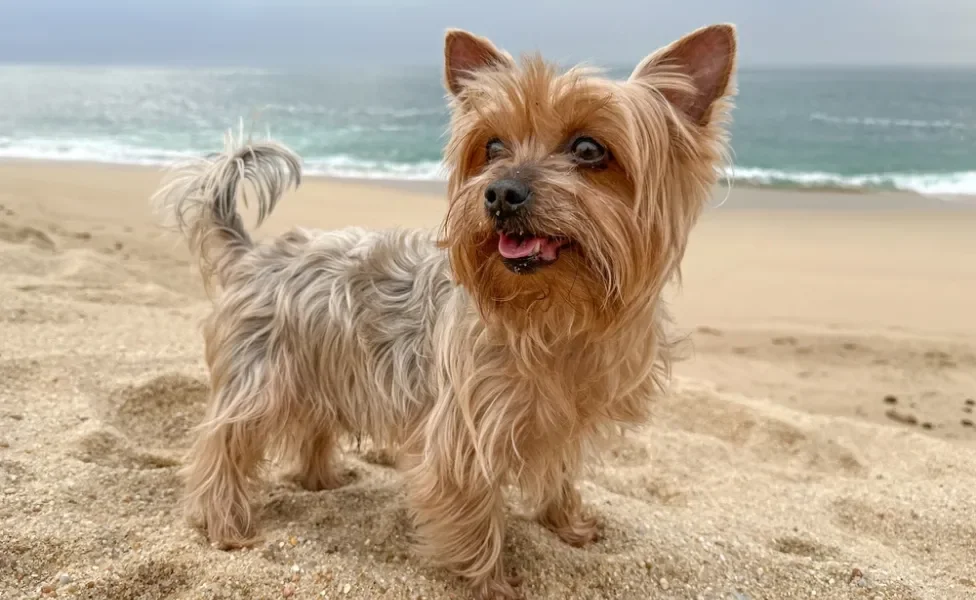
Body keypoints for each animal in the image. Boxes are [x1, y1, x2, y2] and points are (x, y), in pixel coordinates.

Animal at [151, 23, 732, 600]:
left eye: (590, 148)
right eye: (492, 146)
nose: (499, 193)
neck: (553, 314)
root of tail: (253, 254)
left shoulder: (565, 420)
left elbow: (560, 474)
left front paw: (567, 524)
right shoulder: (464, 430)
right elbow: (475, 515)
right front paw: (492, 584)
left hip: (323, 364)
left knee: (312, 425)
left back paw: (323, 480)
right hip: (260, 378)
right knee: (223, 447)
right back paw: (225, 525)